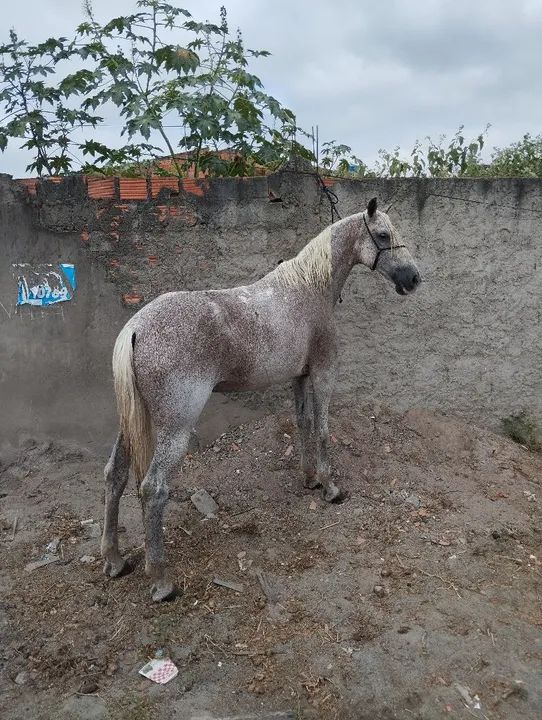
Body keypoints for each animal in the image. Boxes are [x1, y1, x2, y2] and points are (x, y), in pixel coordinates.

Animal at [101, 197, 421, 601]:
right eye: (382, 235)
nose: (414, 279)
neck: (308, 289)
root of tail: (136, 329)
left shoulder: (299, 377)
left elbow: (303, 423)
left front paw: (310, 479)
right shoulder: (323, 373)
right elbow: (323, 429)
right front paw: (331, 488)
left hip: (129, 423)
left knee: (115, 476)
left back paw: (114, 560)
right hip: (175, 429)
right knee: (153, 489)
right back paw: (162, 580)